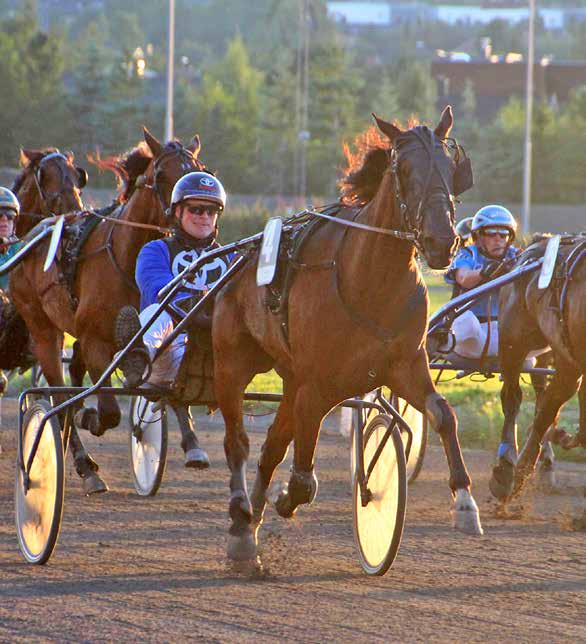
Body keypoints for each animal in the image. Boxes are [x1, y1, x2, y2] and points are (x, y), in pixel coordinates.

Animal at [11, 130, 203, 494]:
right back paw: (83, 462)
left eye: (199, 169)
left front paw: (190, 441)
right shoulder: (97, 341)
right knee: (58, 397)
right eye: (160, 174)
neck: (127, 257)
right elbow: (109, 411)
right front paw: (90, 417)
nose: (192, 214)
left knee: (74, 375)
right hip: (43, 328)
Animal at [212, 107, 482, 564]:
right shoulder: (318, 382)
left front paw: (465, 503)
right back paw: (242, 526)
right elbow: (303, 478)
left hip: (291, 377)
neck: (370, 280)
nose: (442, 241)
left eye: (450, 168)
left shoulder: (405, 364)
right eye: (403, 170)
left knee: (272, 445)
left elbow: (443, 413)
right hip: (233, 362)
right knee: (240, 443)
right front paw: (288, 497)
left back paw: (252, 519)